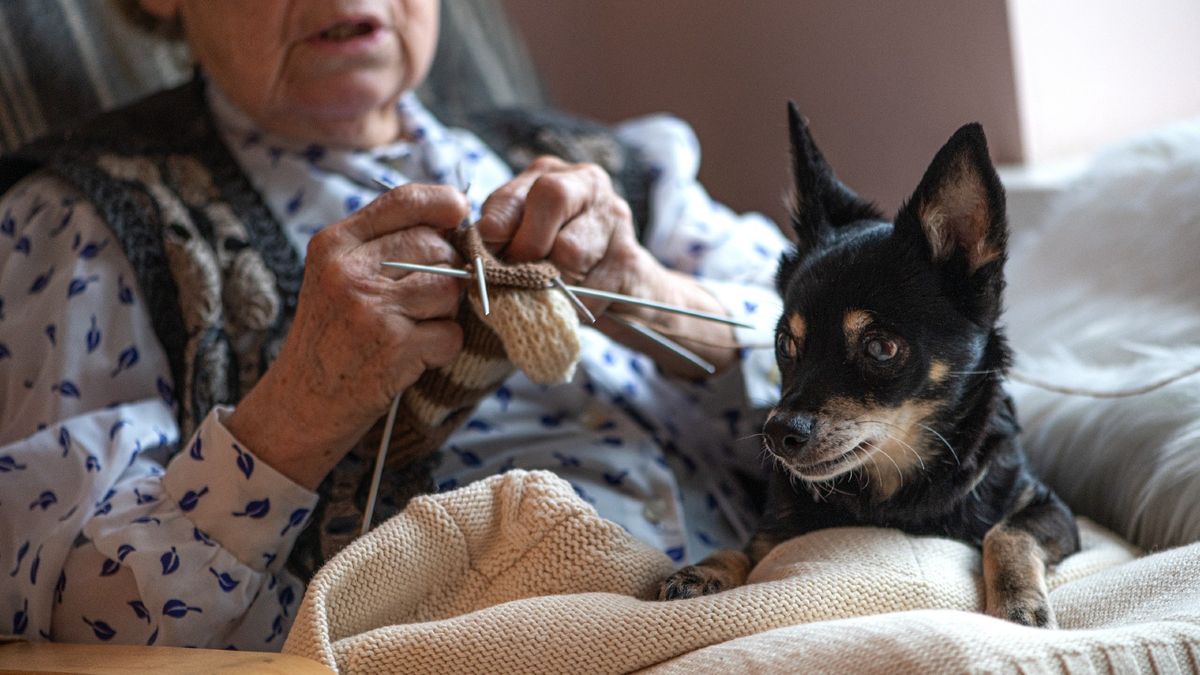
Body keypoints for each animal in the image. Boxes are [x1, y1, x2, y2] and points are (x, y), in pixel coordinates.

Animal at [662, 103, 1084, 624]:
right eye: (785, 344)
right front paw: (705, 570)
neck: (890, 489)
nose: (776, 434)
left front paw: (1016, 603)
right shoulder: (773, 535)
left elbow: (1006, 532)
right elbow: (743, 550)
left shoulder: (1052, 510)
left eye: (880, 348)